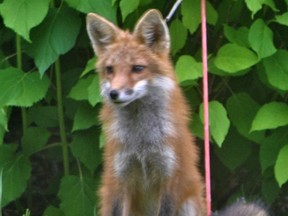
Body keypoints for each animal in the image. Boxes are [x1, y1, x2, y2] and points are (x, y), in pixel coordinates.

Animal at [86, 8, 268, 216]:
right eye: (110, 69)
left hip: (189, 203)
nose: (113, 93)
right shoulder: (120, 177)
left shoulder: (171, 176)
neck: (142, 143)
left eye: (137, 68)